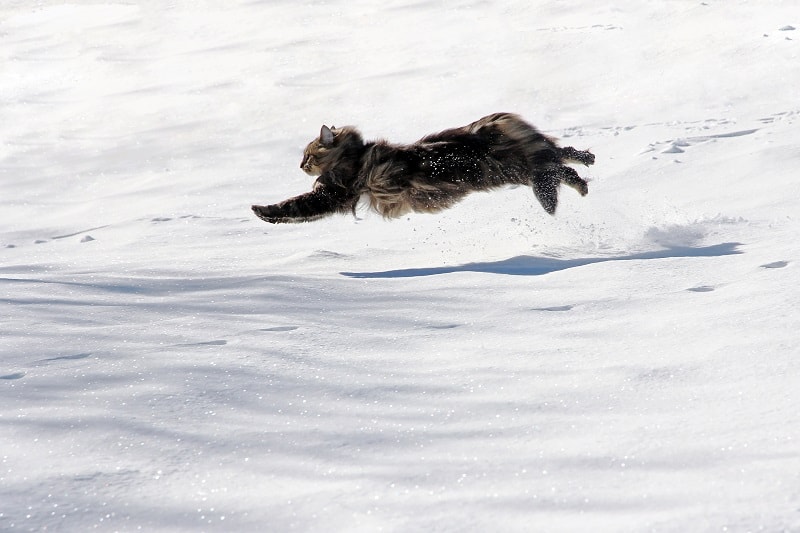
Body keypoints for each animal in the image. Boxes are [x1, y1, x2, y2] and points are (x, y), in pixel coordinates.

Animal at [252, 113, 592, 223]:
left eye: (308, 156)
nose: (300, 165)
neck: (355, 154)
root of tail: (492, 123)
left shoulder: (335, 193)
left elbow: (293, 207)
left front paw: (261, 211)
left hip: (510, 169)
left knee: (555, 166)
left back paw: (582, 182)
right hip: (522, 164)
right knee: (560, 155)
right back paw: (586, 166)